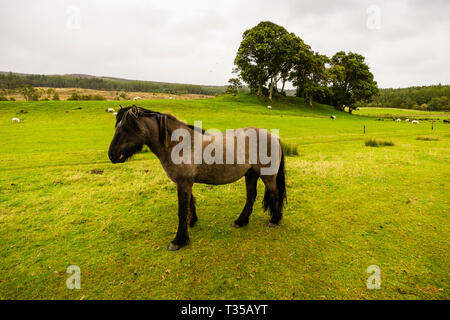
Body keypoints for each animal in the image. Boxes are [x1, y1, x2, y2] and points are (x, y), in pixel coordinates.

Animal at [108, 105, 284, 250]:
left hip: (267, 175)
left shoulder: (184, 183)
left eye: (125, 128)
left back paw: (274, 221)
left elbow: (182, 210)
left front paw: (178, 240)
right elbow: (190, 204)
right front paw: (191, 222)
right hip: (251, 174)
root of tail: (274, 137)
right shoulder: (185, 183)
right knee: (251, 196)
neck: (180, 145)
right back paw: (241, 221)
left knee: (274, 193)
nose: (112, 155)